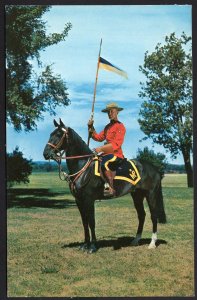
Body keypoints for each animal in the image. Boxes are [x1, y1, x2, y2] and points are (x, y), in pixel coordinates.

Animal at [43, 119, 166, 253]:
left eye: (59, 134)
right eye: (51, 134)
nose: (46, 153)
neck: (83, 167)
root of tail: (155, 169)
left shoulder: (89, 200)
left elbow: (91, 222)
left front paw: (92, 246)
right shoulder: (79, 200)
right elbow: (84, 222)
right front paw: (85, 245)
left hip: (151, 194)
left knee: (153, 216)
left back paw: (152, 243)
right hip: (137, 195)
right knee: (142, 215)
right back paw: (135, 240)